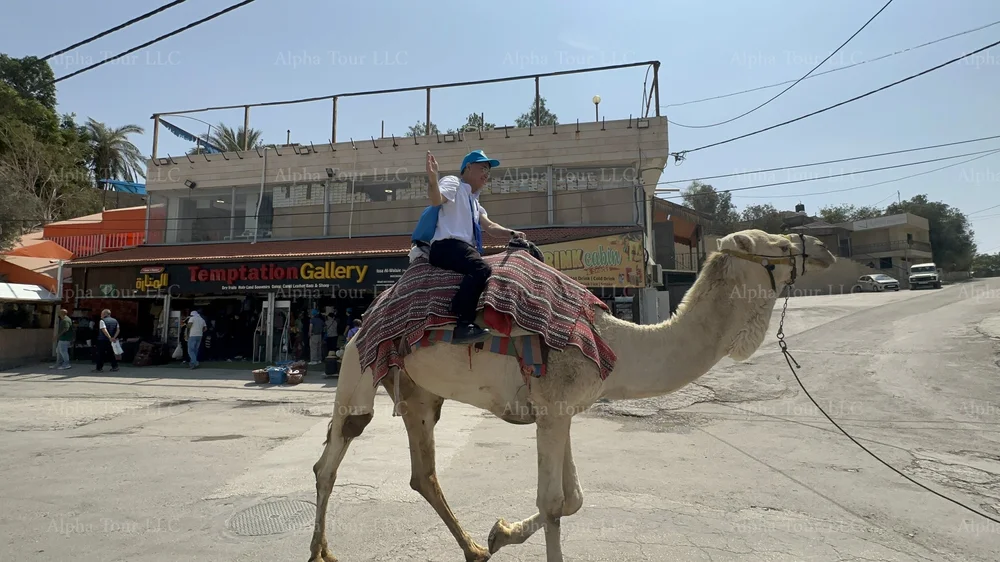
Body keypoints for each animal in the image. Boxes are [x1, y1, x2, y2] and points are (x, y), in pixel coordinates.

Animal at [306, 228, 837, 562]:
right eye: (779, 244)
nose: (823, 250)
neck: (616, 345)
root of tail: (366, 314)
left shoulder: (560, 411)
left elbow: (574, 499)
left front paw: (499, 534)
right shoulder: (552, 408)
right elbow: (554, 502)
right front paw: (505, 534)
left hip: (419, 394)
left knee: (423, 473)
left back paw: (474, 550)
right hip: (359, 366)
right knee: (332, 455)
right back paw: (320, 552)